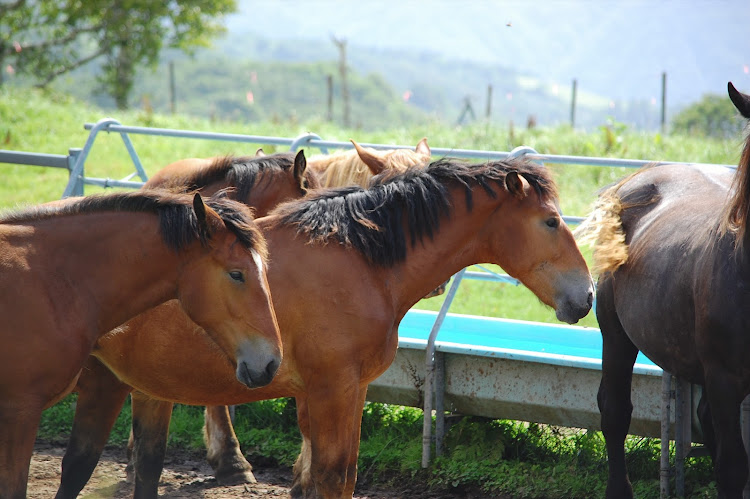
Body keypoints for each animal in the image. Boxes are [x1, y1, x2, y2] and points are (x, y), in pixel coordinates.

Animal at [57, 157, 592, 499]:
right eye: (550, 221)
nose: (585, 295)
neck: (358, 261)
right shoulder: (331, 389)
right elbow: (332, 479)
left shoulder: (348, 391)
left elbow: (334, 478)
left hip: (125, 383)